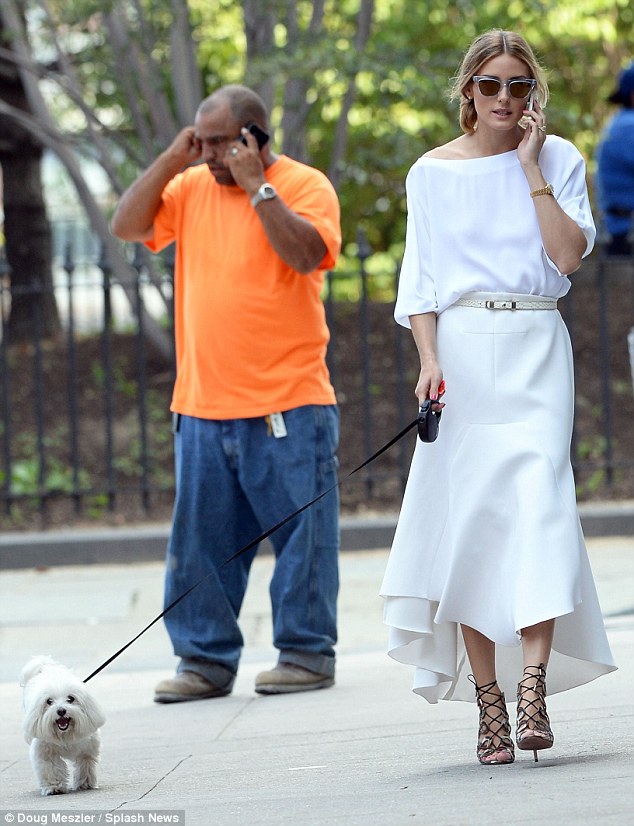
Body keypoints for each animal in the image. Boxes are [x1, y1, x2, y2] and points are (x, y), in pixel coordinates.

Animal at [20, 656, 105, 792]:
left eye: (70, 698)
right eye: (49, 701)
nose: (61, 711)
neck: (66, 734)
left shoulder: (88, 748)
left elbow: (85, 763)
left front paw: (85, 783)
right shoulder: (45, 751)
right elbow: (51, 767)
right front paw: (54, 787)